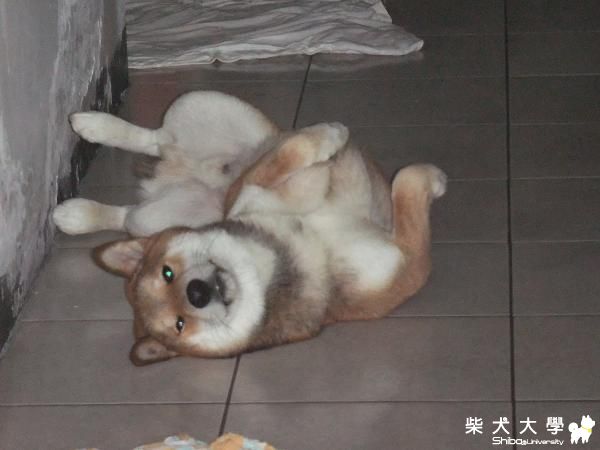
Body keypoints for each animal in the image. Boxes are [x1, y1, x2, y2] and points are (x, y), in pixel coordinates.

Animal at [54, 91, 446, 365]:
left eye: (167, 272)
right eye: (180, 324)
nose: (197, 293)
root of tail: (173, 174)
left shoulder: (251, 192)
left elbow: (290, 154)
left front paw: (328, 138)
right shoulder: (408, 262)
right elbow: (408, 182)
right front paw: (435, 178)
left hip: (202, 105)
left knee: (157, 138)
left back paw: (93, 126)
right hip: (155, 214)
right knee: (128, 209)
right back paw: (78, 211)